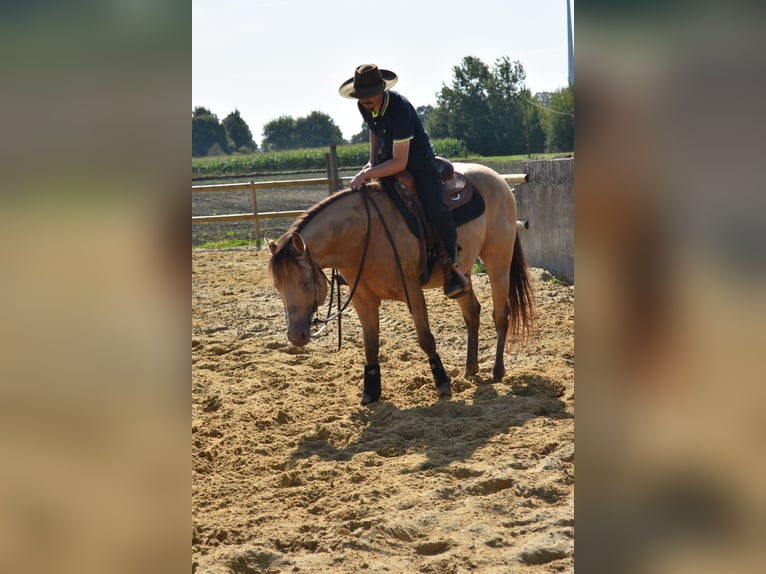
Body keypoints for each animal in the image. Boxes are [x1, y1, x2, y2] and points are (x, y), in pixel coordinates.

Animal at [268, 162, 535, 406]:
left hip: (498, 260)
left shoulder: (412, 290)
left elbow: (425, 337)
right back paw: (471, 368)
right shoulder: (362, 298)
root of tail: (498, 178)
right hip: (462, 273)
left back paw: (497, 371)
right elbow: (370, 345)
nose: (295, 336)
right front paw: (371, 391)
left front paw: (442, 382)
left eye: (305, 282)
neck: (364, 233)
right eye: (278, 286)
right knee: (472, 312)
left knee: (500, 314)